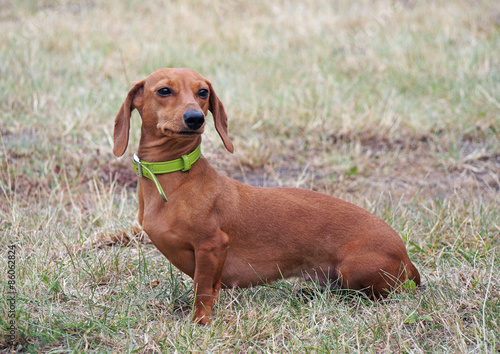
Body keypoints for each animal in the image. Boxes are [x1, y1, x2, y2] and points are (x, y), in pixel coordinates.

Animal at [112, 68, 418, 324]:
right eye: (164, 90)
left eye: (203, 92)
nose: (195, 118)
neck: (176, 176)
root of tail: (406, 258)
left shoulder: (212, 246)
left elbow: (203, 288)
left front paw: (201, 321)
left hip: (353, 268)